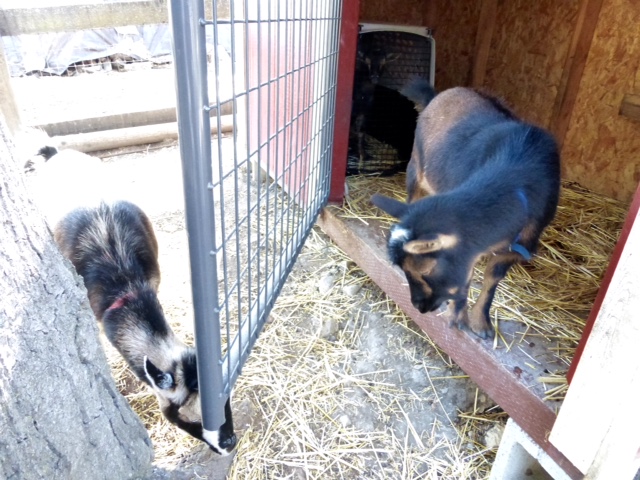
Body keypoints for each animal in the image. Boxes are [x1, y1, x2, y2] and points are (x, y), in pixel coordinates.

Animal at [371, 79, 560, 339]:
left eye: (426, 271)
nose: (418, 306)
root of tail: (438, 95)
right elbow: (468, 279)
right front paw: (458, 317)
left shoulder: (520, 244)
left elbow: (491, 280)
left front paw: (481, 322)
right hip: (416, 165)